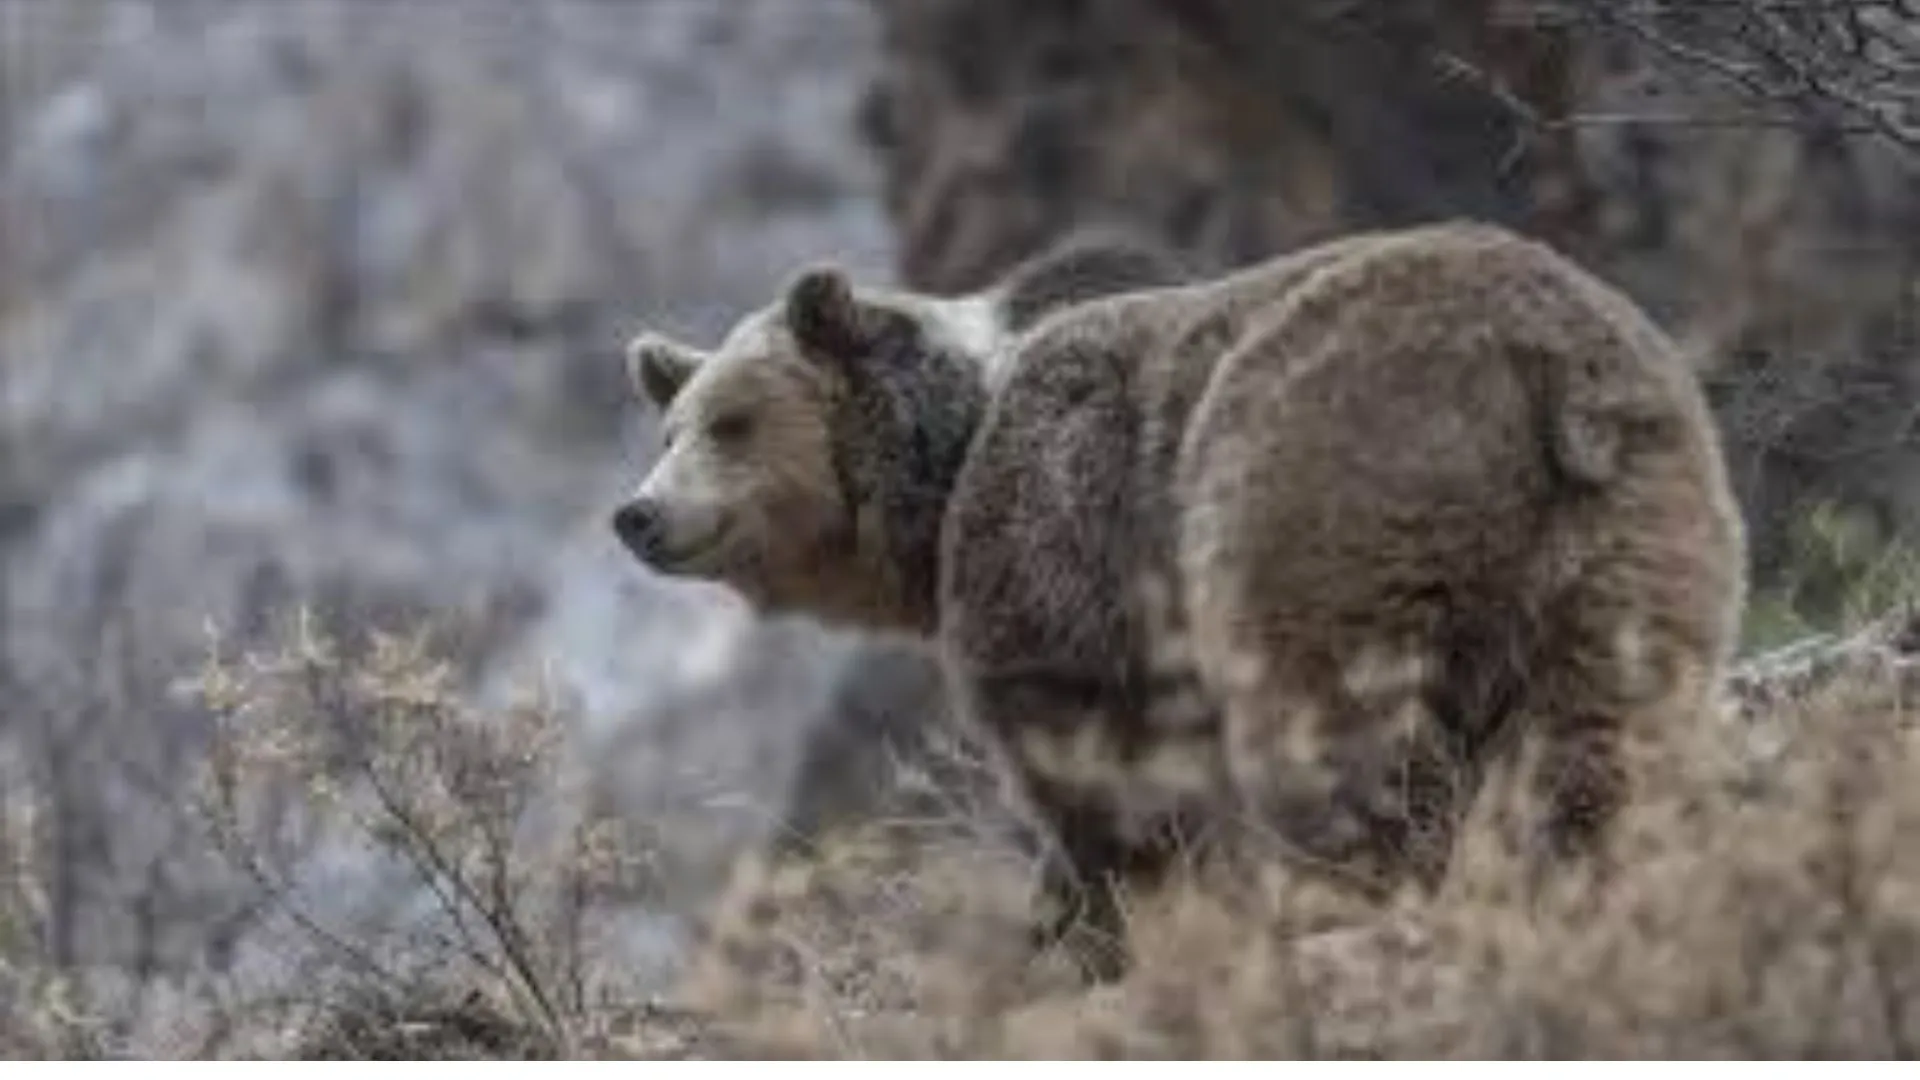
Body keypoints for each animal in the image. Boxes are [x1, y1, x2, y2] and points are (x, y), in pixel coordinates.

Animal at [618, 222, 1758, 972]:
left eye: (731, 422)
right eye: (670, 424)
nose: (639, 514)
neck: (940, 477)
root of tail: (1546, 367)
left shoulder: (1060, 548)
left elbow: (1101, 777)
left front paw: (1090, 922)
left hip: (1321, 491)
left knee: (1344, 733)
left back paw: (1355, 904)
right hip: (1628, 534)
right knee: (1596, 737)